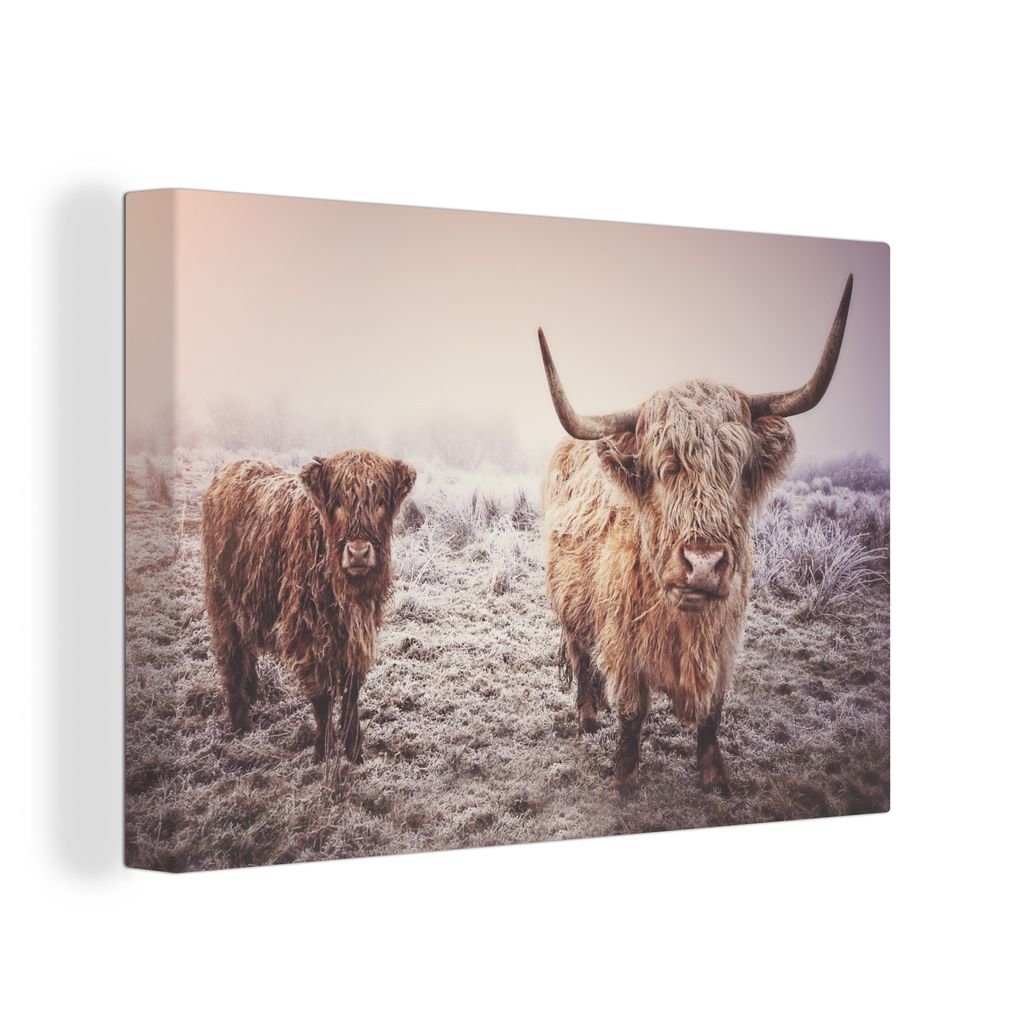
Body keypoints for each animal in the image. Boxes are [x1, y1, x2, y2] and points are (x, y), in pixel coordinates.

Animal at [201, 450, 416, 763]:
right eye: (337, 502)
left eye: (379, 502)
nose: (359, 552)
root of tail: (233, 466)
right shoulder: (307, 633)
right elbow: (323, 695)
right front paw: (323, 751)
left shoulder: (359, 632)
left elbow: (351, 690)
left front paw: (354, 750)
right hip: (221, 601)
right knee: (230, 654)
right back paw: (240, 722)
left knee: (246, 646)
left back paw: (253, 692)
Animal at [538, 275, 853, 796]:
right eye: (663, 468)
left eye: (738, 467)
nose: (703, 563)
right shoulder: (625, 644)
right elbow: (632, 711)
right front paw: (625, 777)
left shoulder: (723, 642)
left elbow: (712, 712)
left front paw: (715, 776)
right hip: (569, 602)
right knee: (581, 656)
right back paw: (587, 716)